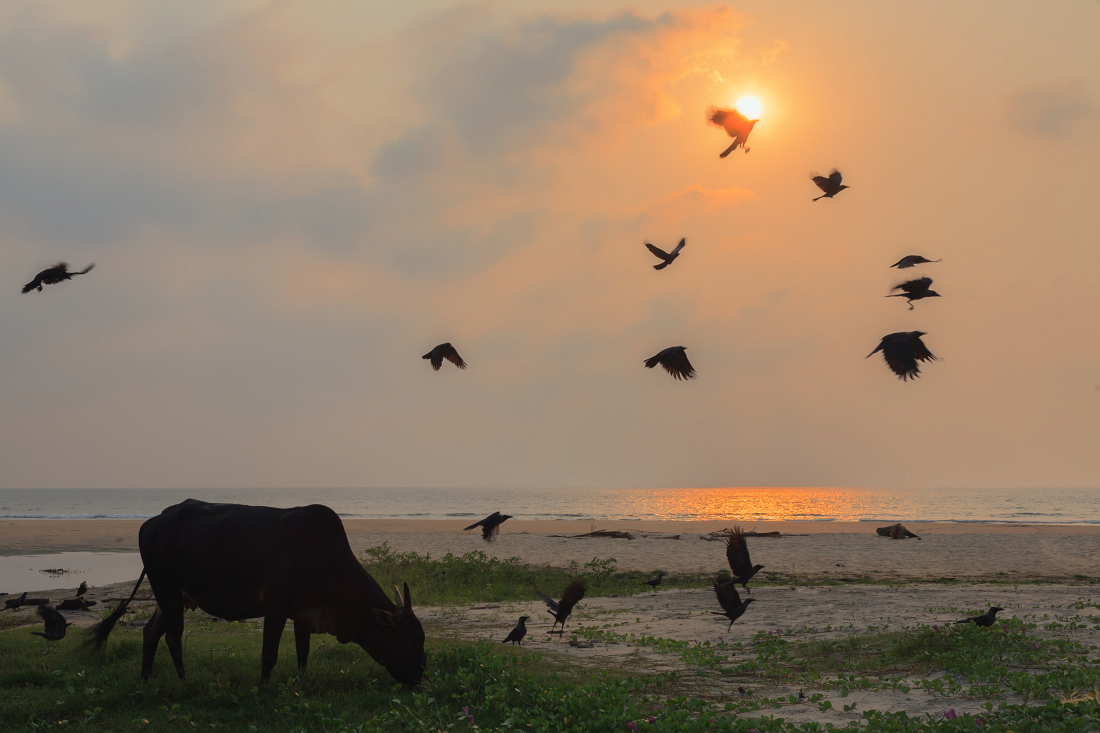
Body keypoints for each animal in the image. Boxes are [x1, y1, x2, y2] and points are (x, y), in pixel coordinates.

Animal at [90, 499, 426, 682]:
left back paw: (146, 679)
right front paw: (264, 688)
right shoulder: (276, 607)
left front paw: (300, 682)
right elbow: (269, 654)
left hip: (172, 597)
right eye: (410, 638)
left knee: (150, 633)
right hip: (167, 590)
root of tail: (156, 520)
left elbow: (303, 652)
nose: (422, 676)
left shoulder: (303, 613)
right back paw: (183, 682)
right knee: (172, 638)